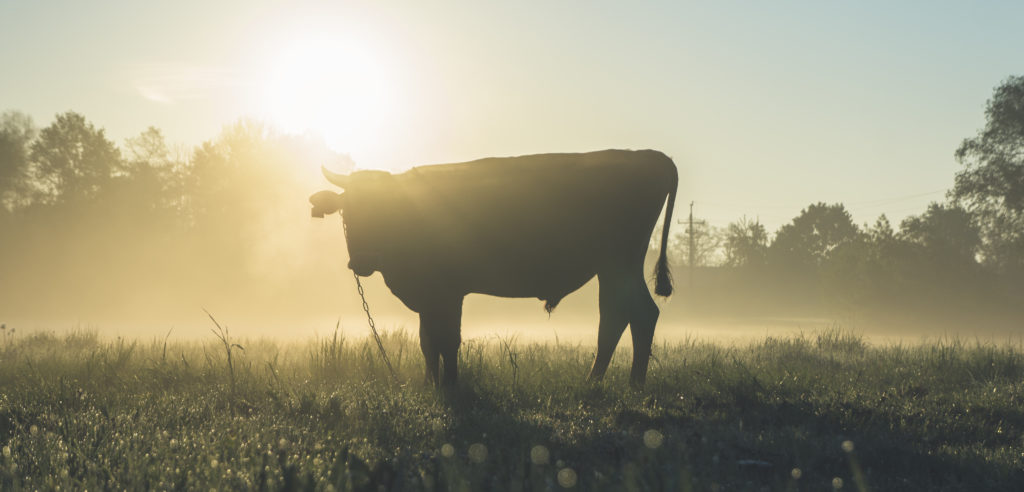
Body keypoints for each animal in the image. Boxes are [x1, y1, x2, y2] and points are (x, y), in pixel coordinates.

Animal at [311, 147, 679, 385]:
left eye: (383, 208)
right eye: (347, 211)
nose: (361, 260)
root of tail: (649, 155)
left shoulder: (447, 293)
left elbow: (447, 339)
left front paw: (451, 386)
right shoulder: (429, 297)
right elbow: (427, 341)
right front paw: (431, 384)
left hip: (618, 264)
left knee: (629, 316)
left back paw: (617, 385)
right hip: (617, 268)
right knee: (627, 316)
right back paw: (611, 384)